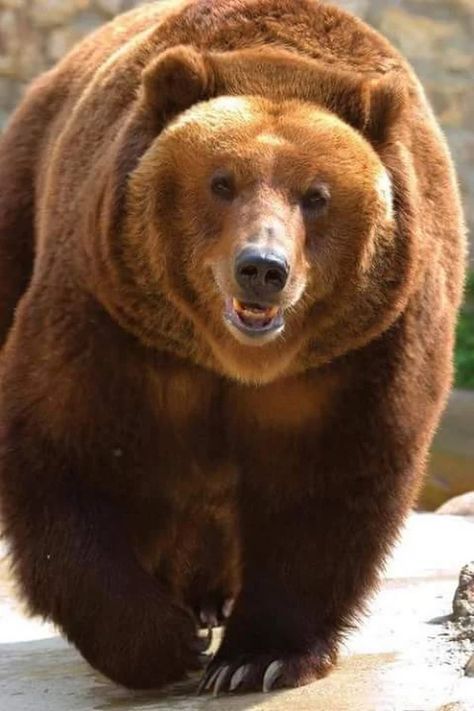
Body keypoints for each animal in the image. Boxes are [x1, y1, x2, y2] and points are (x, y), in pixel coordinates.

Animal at [0, 0, 466, 695]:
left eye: (316, 195)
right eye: (222, 182)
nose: (262, 268)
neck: (232, 360)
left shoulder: (358, 354)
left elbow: (329, 483)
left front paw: (257, 658)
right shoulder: (112, 318)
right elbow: (67, 452)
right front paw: (164, 643)